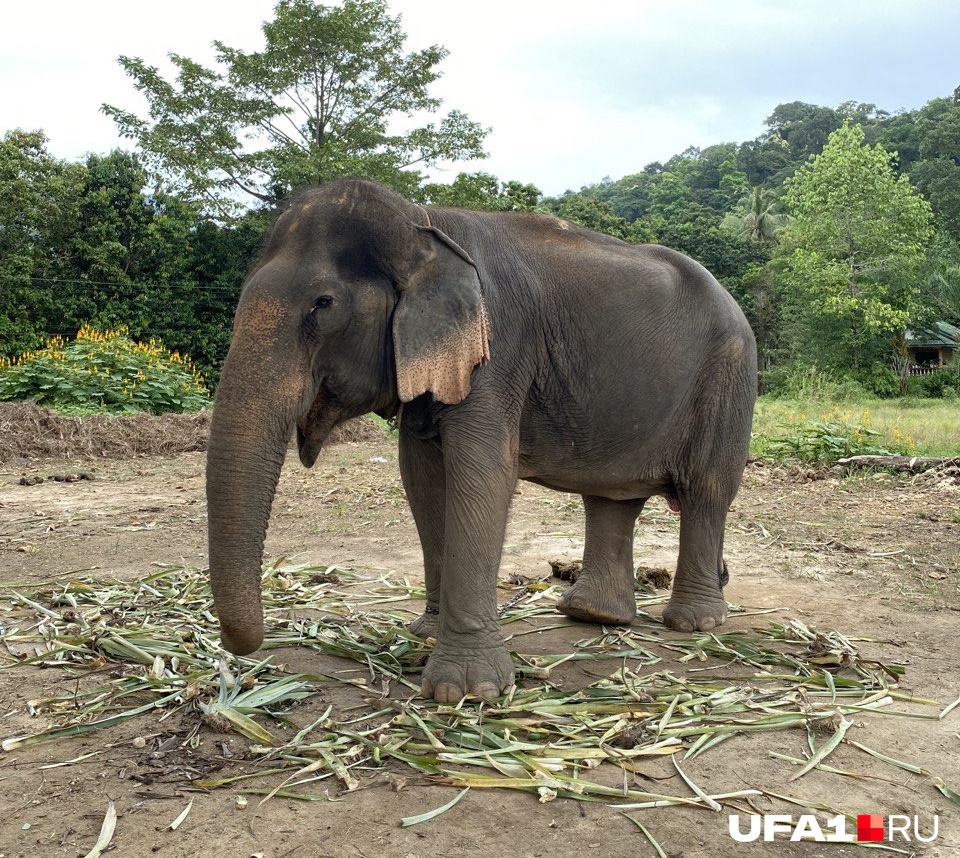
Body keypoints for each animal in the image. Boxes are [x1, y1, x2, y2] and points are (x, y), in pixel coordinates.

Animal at [208, 176, 756, 704]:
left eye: (323, 305)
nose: (245, 655)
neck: (423, 223)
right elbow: (422, 477)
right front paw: (426, 632)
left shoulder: (498, 350)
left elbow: (484, 472)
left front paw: (468, 692)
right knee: (610, 498)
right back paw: (594, 615)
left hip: (729, 378)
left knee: (706, 490)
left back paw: (693, 622)